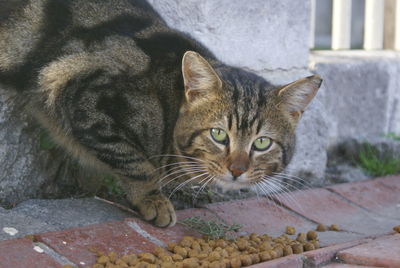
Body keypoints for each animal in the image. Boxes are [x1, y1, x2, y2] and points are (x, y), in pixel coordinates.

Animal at [0, 0, 322, 227]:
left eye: (262, 143)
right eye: (218, 135)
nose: (237, 170)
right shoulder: (81, 93)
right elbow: (134, 161)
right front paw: (153, 199)